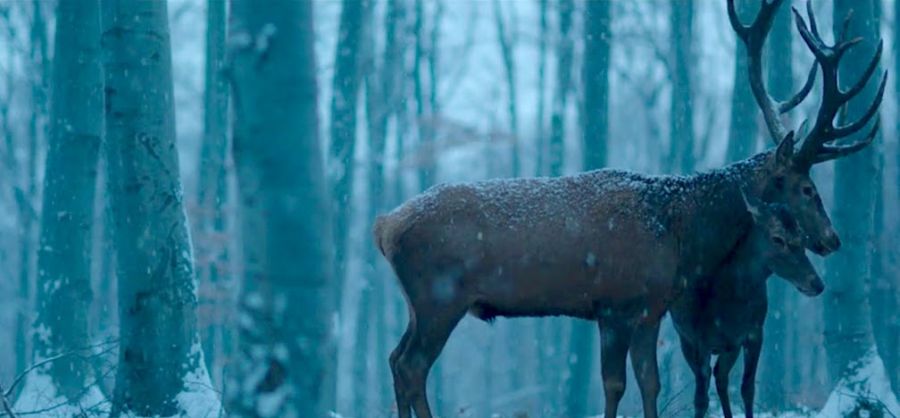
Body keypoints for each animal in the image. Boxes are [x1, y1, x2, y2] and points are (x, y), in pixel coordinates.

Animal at [668, 192, 824, 418]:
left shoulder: (754, 332)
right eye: (777, 238)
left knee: (721, 376)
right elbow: (700, 399)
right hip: (686, 342)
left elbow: (747, 389)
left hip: (729, 347)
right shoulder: (698, 339)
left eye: (802, 237)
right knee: (709, 381)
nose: (817, 284)